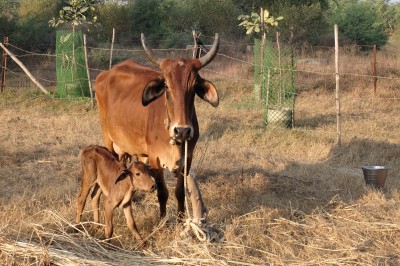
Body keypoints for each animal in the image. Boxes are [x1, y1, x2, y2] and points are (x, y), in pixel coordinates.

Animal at [94, 33, 219, 219]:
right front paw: (162, 218)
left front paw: (181, 218)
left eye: (194, 86)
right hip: (108, 140)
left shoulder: (187, 159)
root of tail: (106, 73)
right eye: (167, 85)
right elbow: (163, 192)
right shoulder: (155, 159)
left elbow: (180, 192)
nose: (182, 130)